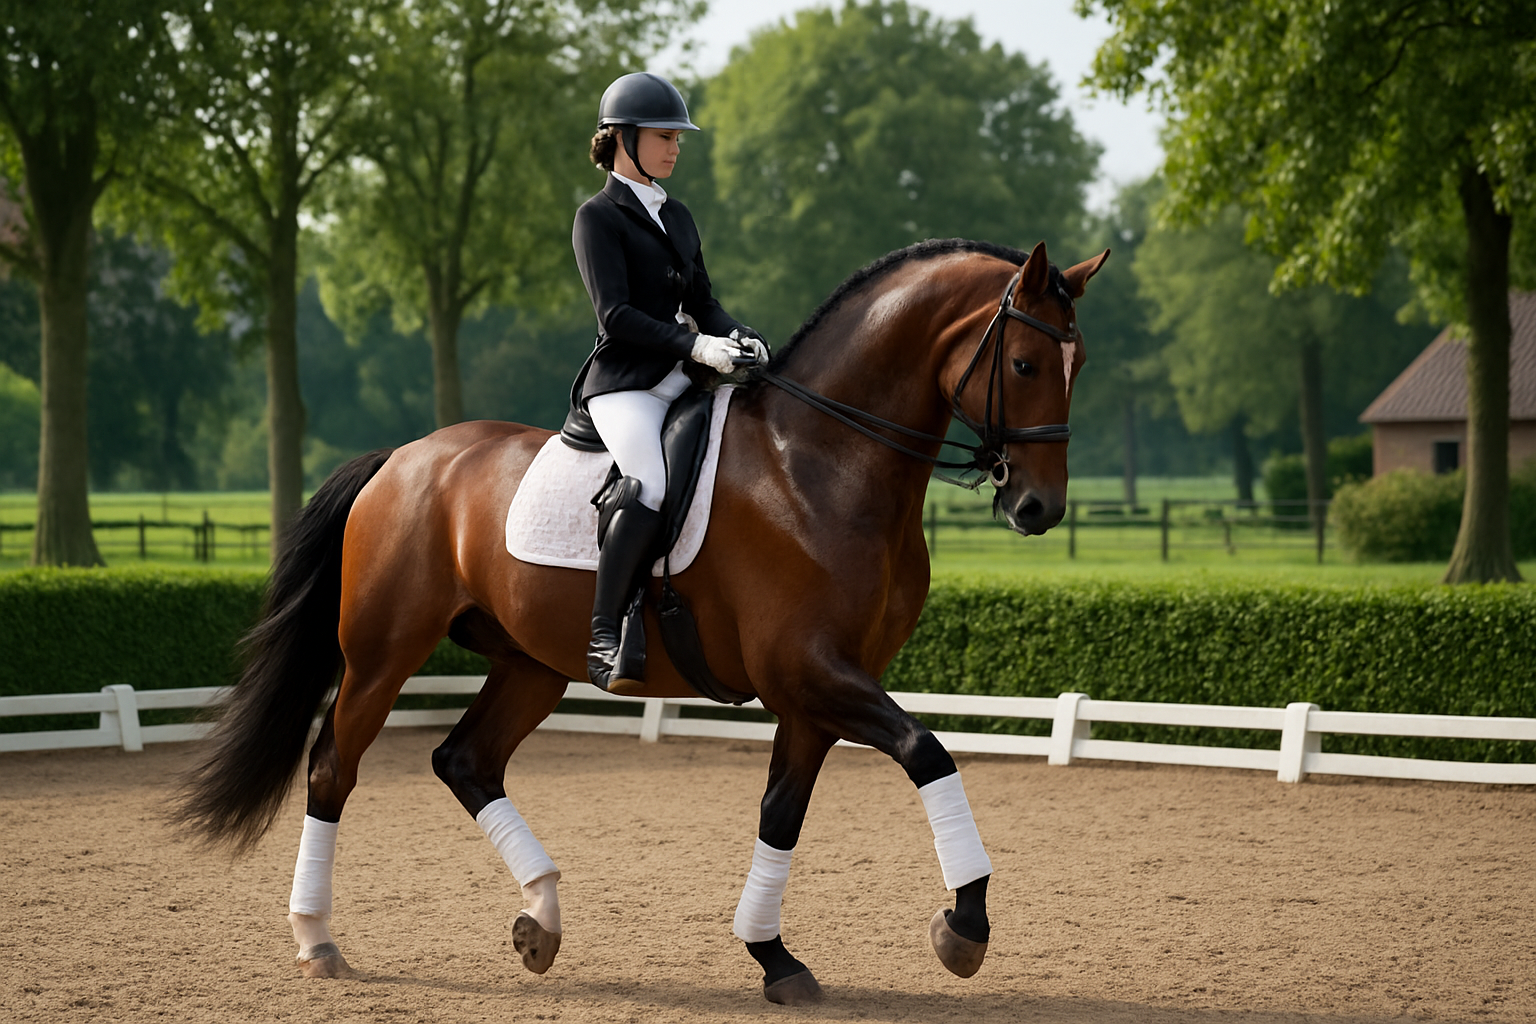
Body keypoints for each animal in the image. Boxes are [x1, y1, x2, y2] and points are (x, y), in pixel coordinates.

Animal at [174, 237, 1108, 1005]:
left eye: (1078, 363)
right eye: (1026, 363)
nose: (1038, 509)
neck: (822, 462)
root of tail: (402, 458)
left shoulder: (817, 692)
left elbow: (782, 813)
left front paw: (773, 957)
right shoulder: (812, 673)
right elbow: (928, 753)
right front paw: (964, 927)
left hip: (531, 664)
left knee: (465, 760)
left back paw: (541, 919)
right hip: (382, 654)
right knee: (334, 768)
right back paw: (318, 941)